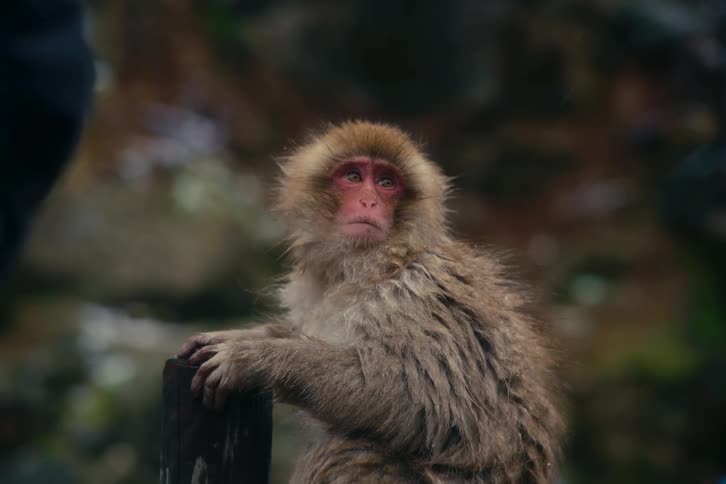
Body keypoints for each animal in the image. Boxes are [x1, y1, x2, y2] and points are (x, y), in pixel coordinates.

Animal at [177, 121, 564, 483]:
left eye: (386, 182)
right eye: (353, 176)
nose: (369, 201)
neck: (376, 264)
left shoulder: (417, 297)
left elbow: (424, 405)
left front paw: (253, 358)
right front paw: (247, 336)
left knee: (347, 448)